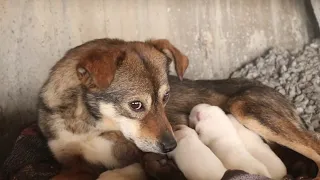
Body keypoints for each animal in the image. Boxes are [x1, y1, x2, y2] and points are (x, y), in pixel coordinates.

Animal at [38, 38, 318, 179]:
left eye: (166, 97)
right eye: (136, 105)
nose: (171, 146)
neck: (89, 123)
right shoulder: (71, 164)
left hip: (245, 107)